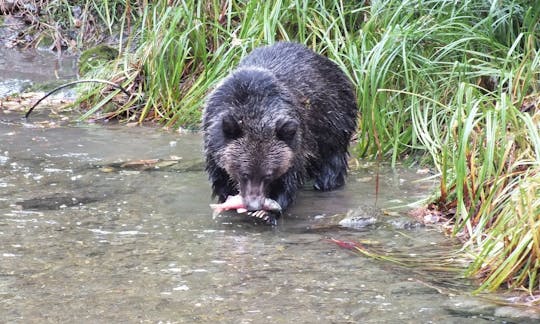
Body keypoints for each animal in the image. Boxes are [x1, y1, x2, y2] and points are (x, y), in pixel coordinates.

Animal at [204, 41, 358, 218]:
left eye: (268, 175)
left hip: (333, 118)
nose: (254, 205)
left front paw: (268, 212)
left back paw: (326, 182)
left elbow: (288, 179)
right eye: (244, 173)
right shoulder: (214, 140)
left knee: (332, 156)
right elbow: (220, 177)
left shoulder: (295, 142)